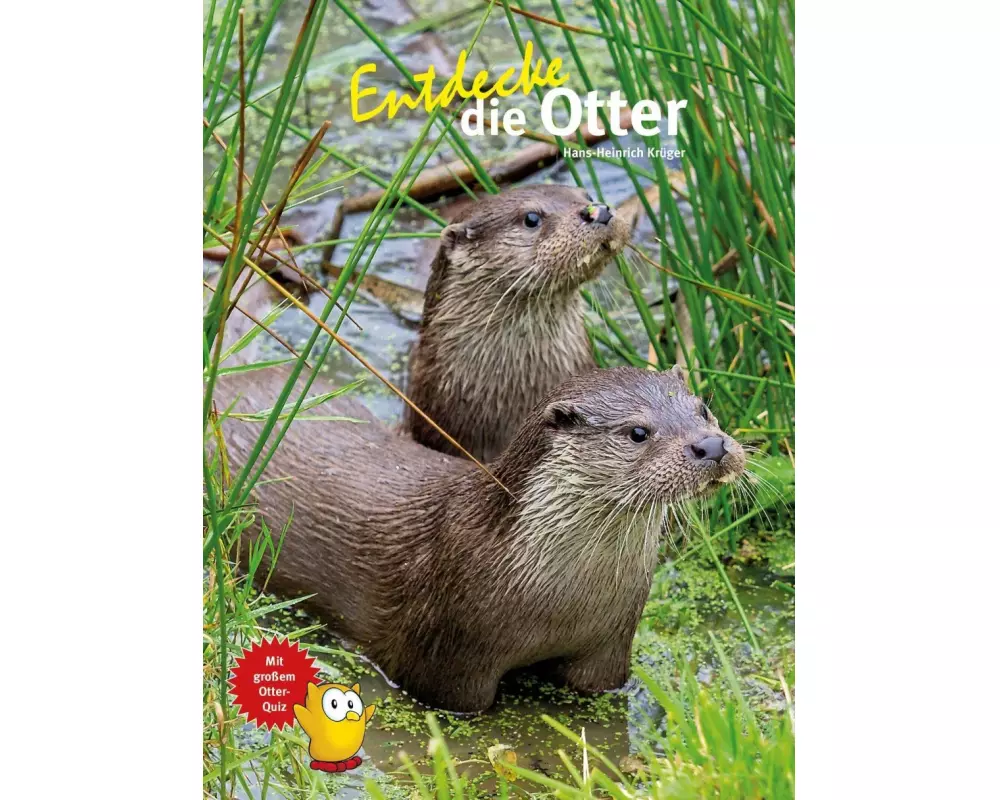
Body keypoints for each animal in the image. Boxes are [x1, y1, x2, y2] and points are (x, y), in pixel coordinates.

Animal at [219, 365, 745, 712]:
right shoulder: (448, 661)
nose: (711, 445)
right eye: (637, 432)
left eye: (703, 409)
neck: (561, 601)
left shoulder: (610, 646)